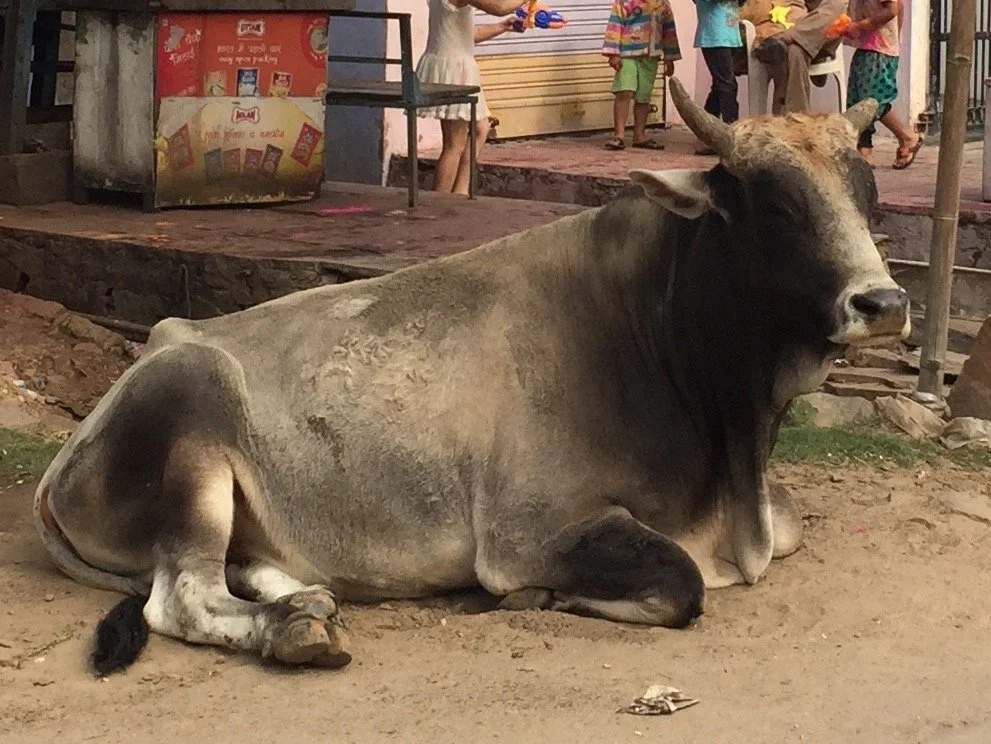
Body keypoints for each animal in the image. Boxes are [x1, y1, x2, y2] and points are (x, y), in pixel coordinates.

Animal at [34, 79, 909, 675]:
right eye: (776, 206)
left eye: (867, 199)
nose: (884, 302)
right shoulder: (531, 533)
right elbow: (681, 581)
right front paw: (541, 598)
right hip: (194, 406)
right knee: (182, 594)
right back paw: (297, 628)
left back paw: (309, 599)